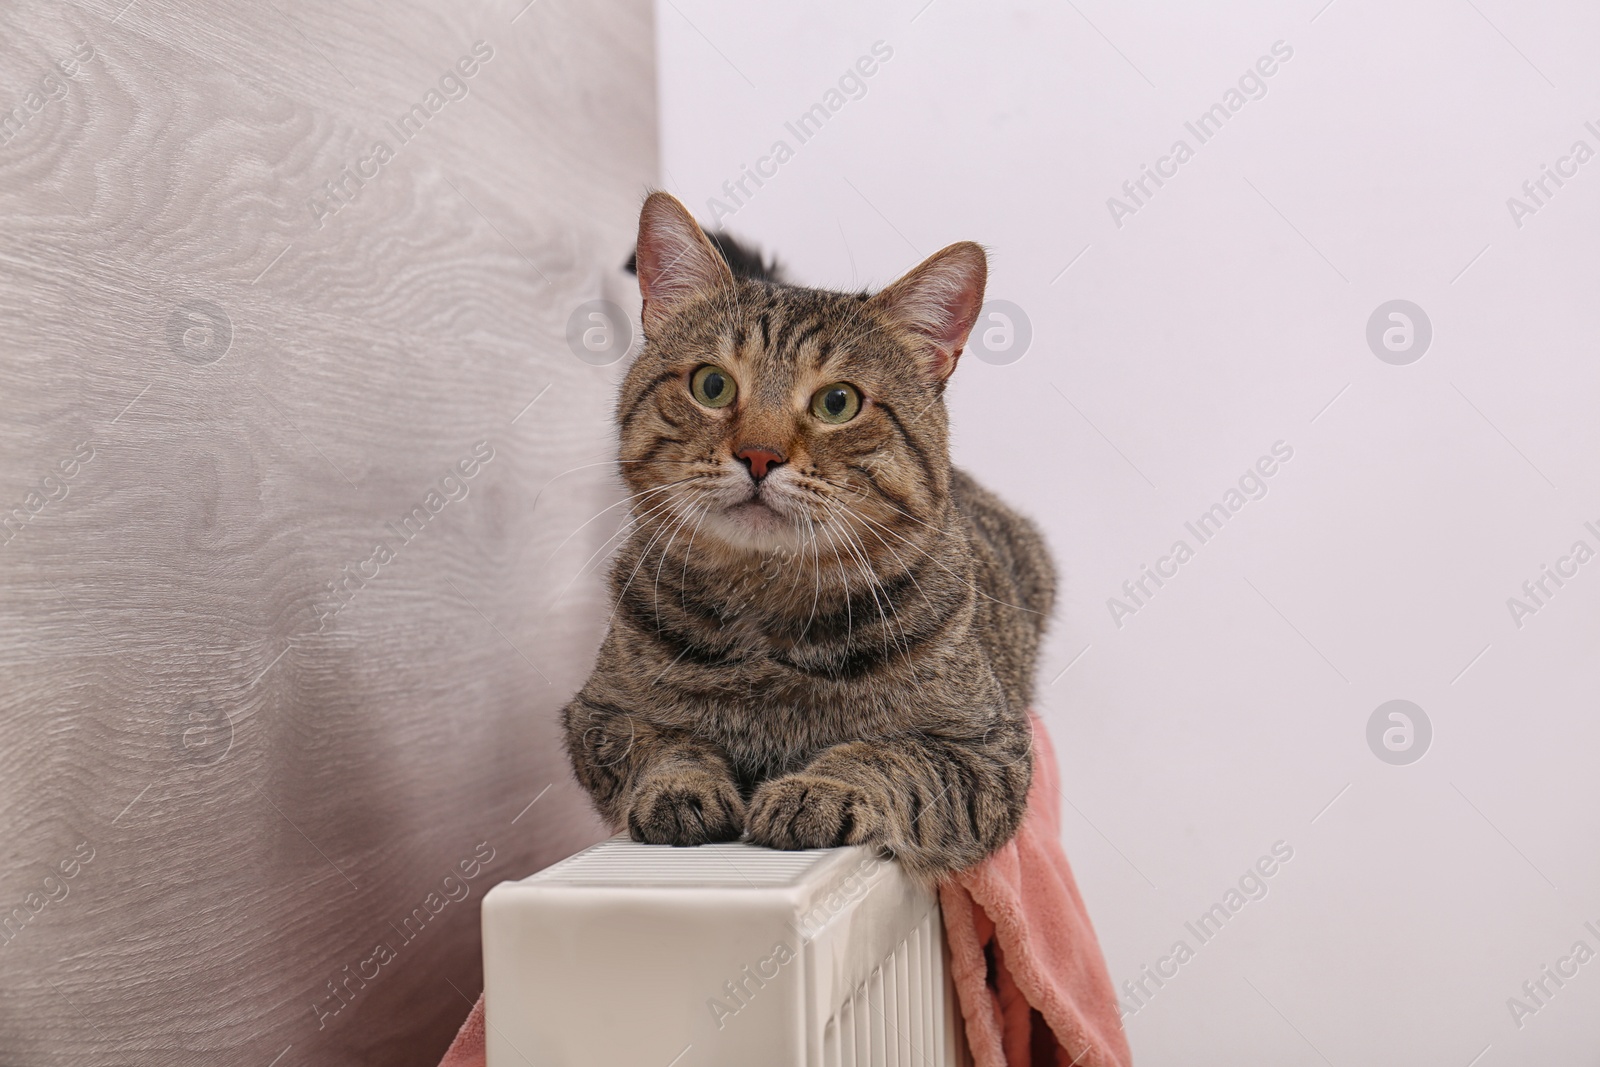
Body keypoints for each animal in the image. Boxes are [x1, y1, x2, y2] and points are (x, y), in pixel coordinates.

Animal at [566, 195, 1062, 883]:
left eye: (837, 402)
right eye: (712, 385)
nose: (759, 454)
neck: (768, 609)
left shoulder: (988, 753)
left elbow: (890, 755)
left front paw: (817, 788)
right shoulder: (598, 717)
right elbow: (662, 744)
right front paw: (680, 786)